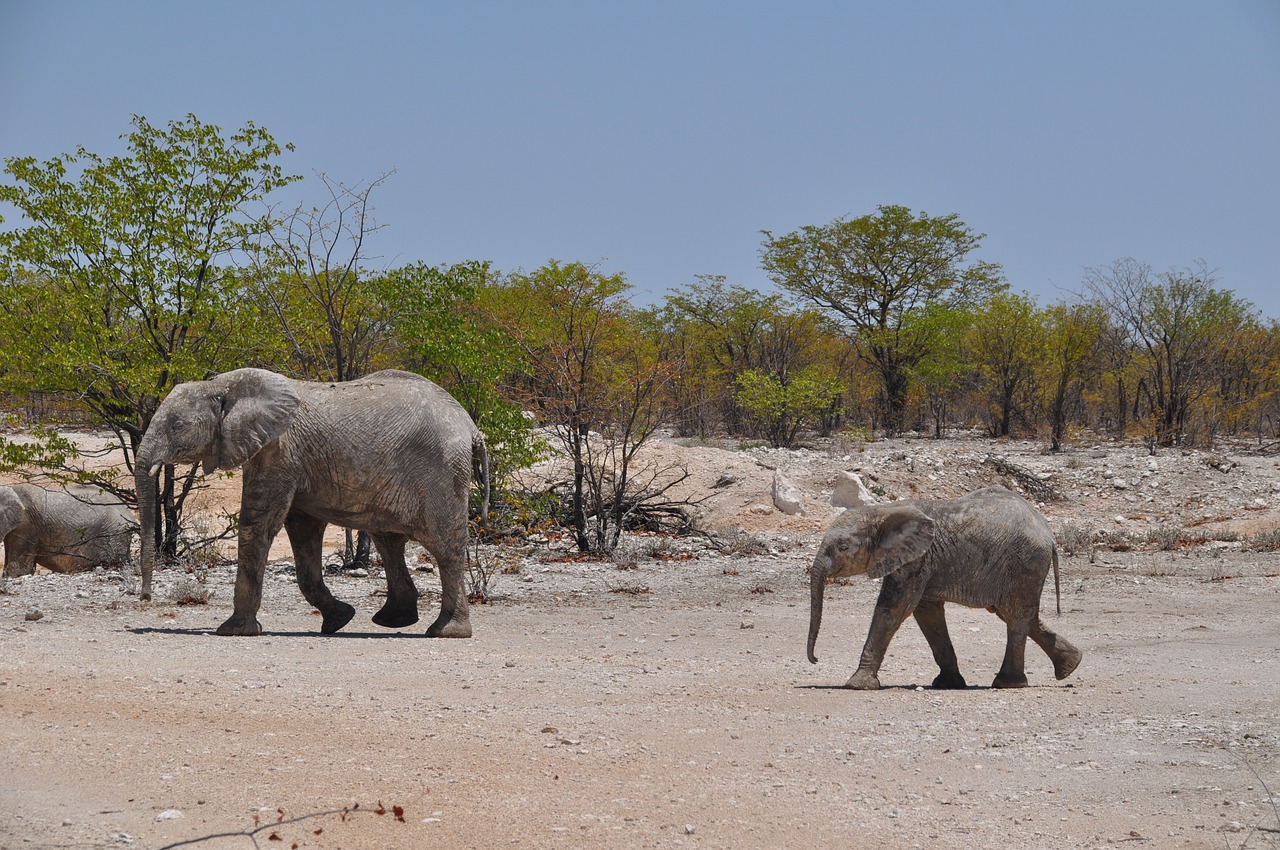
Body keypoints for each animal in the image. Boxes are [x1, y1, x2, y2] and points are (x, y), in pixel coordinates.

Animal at [133, 366, 483, 637]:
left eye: (177, 426)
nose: (146, 598)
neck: (222, 385)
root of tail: (470, 425)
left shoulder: (279, 451)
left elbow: (258, 525)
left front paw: (233, 630)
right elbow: (302, 533)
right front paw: (339, 620)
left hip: (442, 473)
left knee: (446, 548)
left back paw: (446, 632)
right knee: (389, 540)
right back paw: (392, 621)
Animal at [808, 483, 1080, 691]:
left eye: (843, 548)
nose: (815, 659)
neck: (882, 510)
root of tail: (1049, 534)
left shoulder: (917, 560)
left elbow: (893, 610)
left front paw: (857, 685)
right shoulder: (921, 561)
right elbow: (928, 615)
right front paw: (949, 684)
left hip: (1025, 562)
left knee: (1016, 616)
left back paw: (1007, 683)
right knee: (1020, 615)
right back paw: (1070, 667)